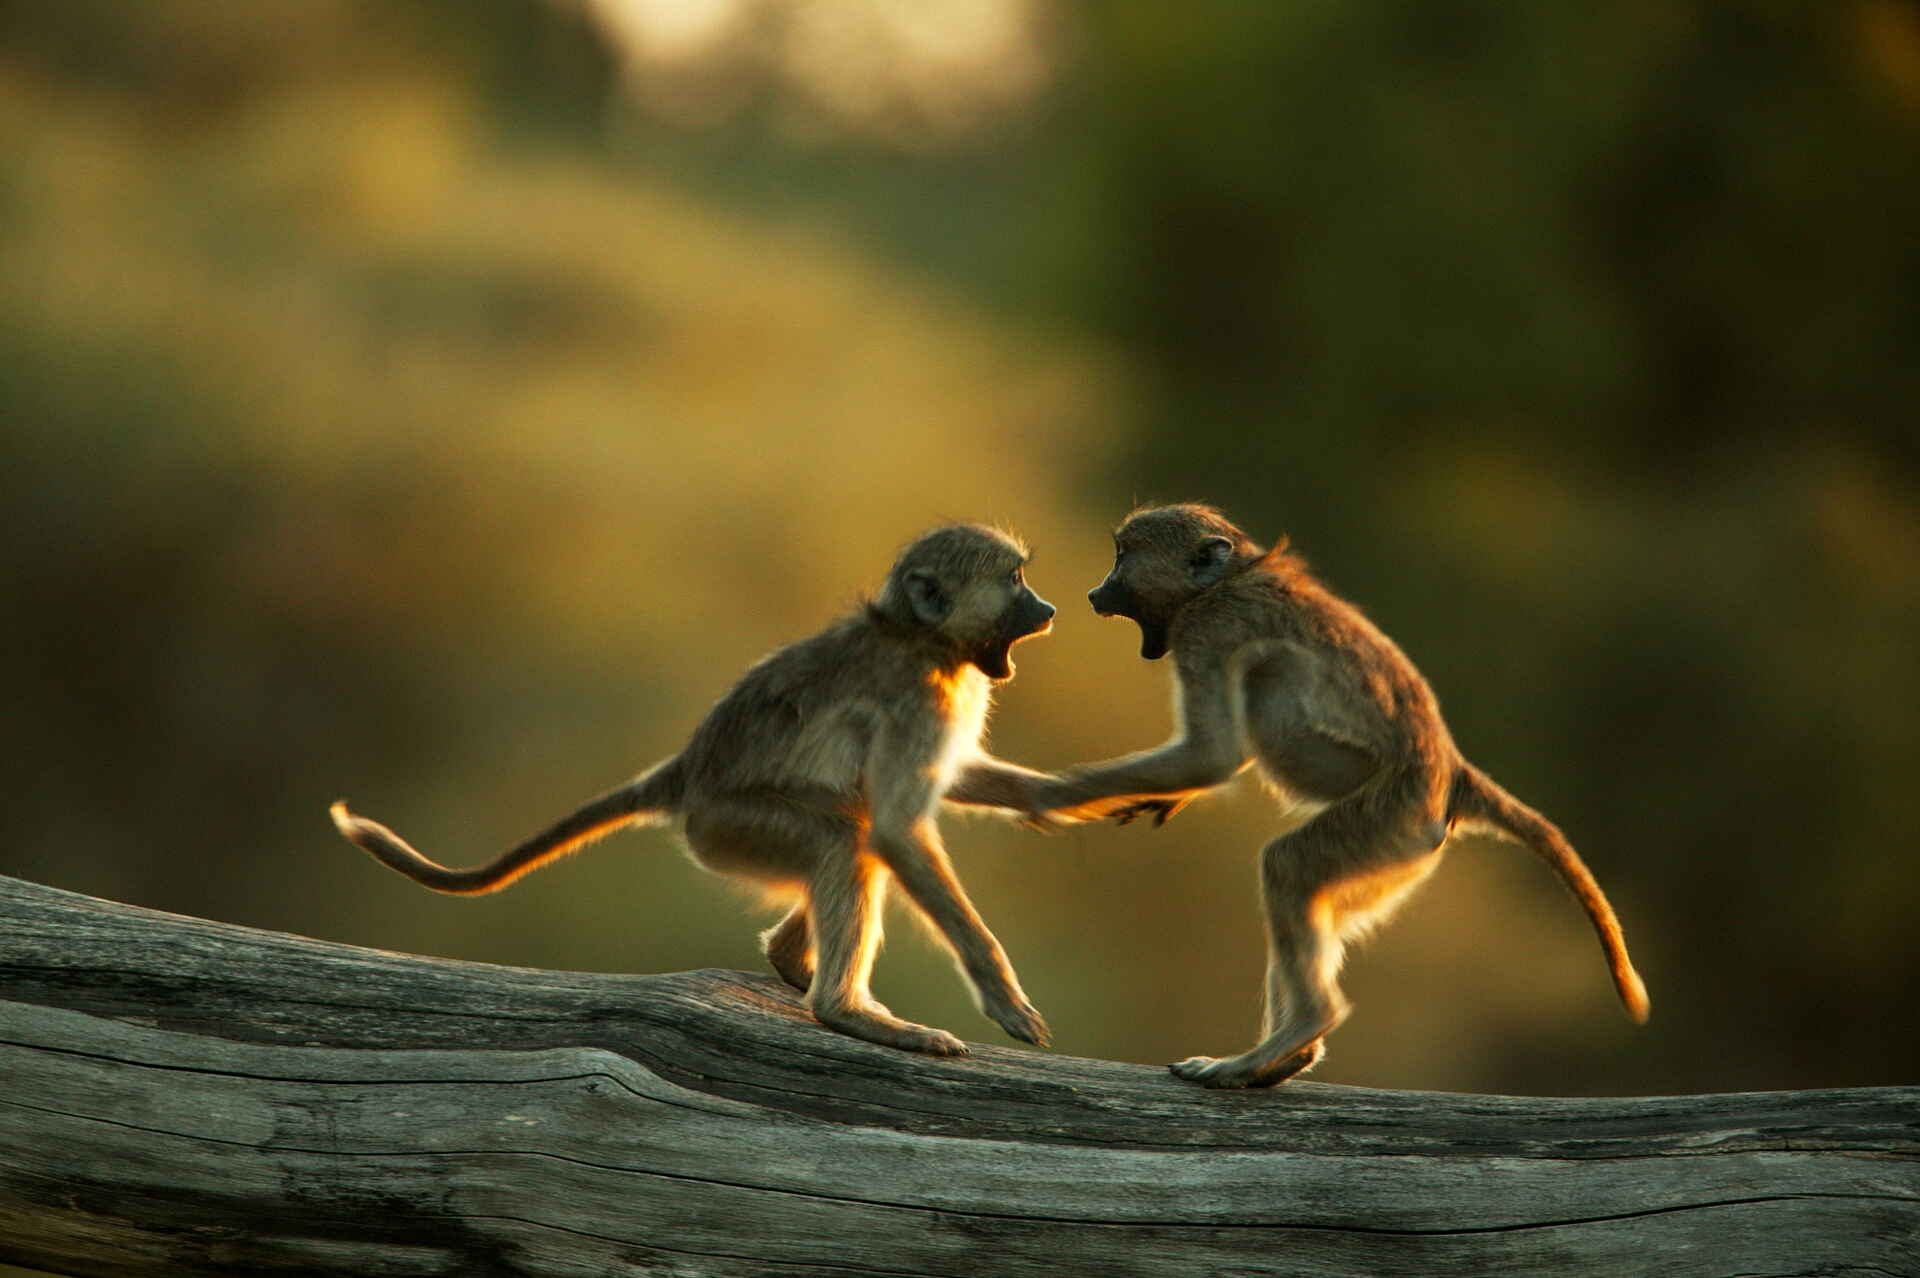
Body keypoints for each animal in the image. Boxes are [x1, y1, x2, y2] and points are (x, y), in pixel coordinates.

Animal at [332, 524, 1082, 1058]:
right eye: (1014, 580)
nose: (1046, 608)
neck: (919, 638)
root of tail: (688, 770)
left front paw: (1068, 794)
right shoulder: (919, 701)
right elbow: (900, 828)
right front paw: (1003, 996)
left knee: (854, 824)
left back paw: (792, 961)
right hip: (728, 827)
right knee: (849, 833)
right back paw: (842, 1010)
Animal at [1026, 503, 1649, 1088]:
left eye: (1122, 558)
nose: (1096, 591)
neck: (1228, 578)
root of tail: (1452, 772)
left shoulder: (1209, 630)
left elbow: (1213, 753)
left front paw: (1054, 792)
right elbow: (1225, 751)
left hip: (1389, 821)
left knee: (1287, 865)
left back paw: (1290, 1035)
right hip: (1396, 858)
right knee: (1311, 900)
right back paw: (1286, 1057)